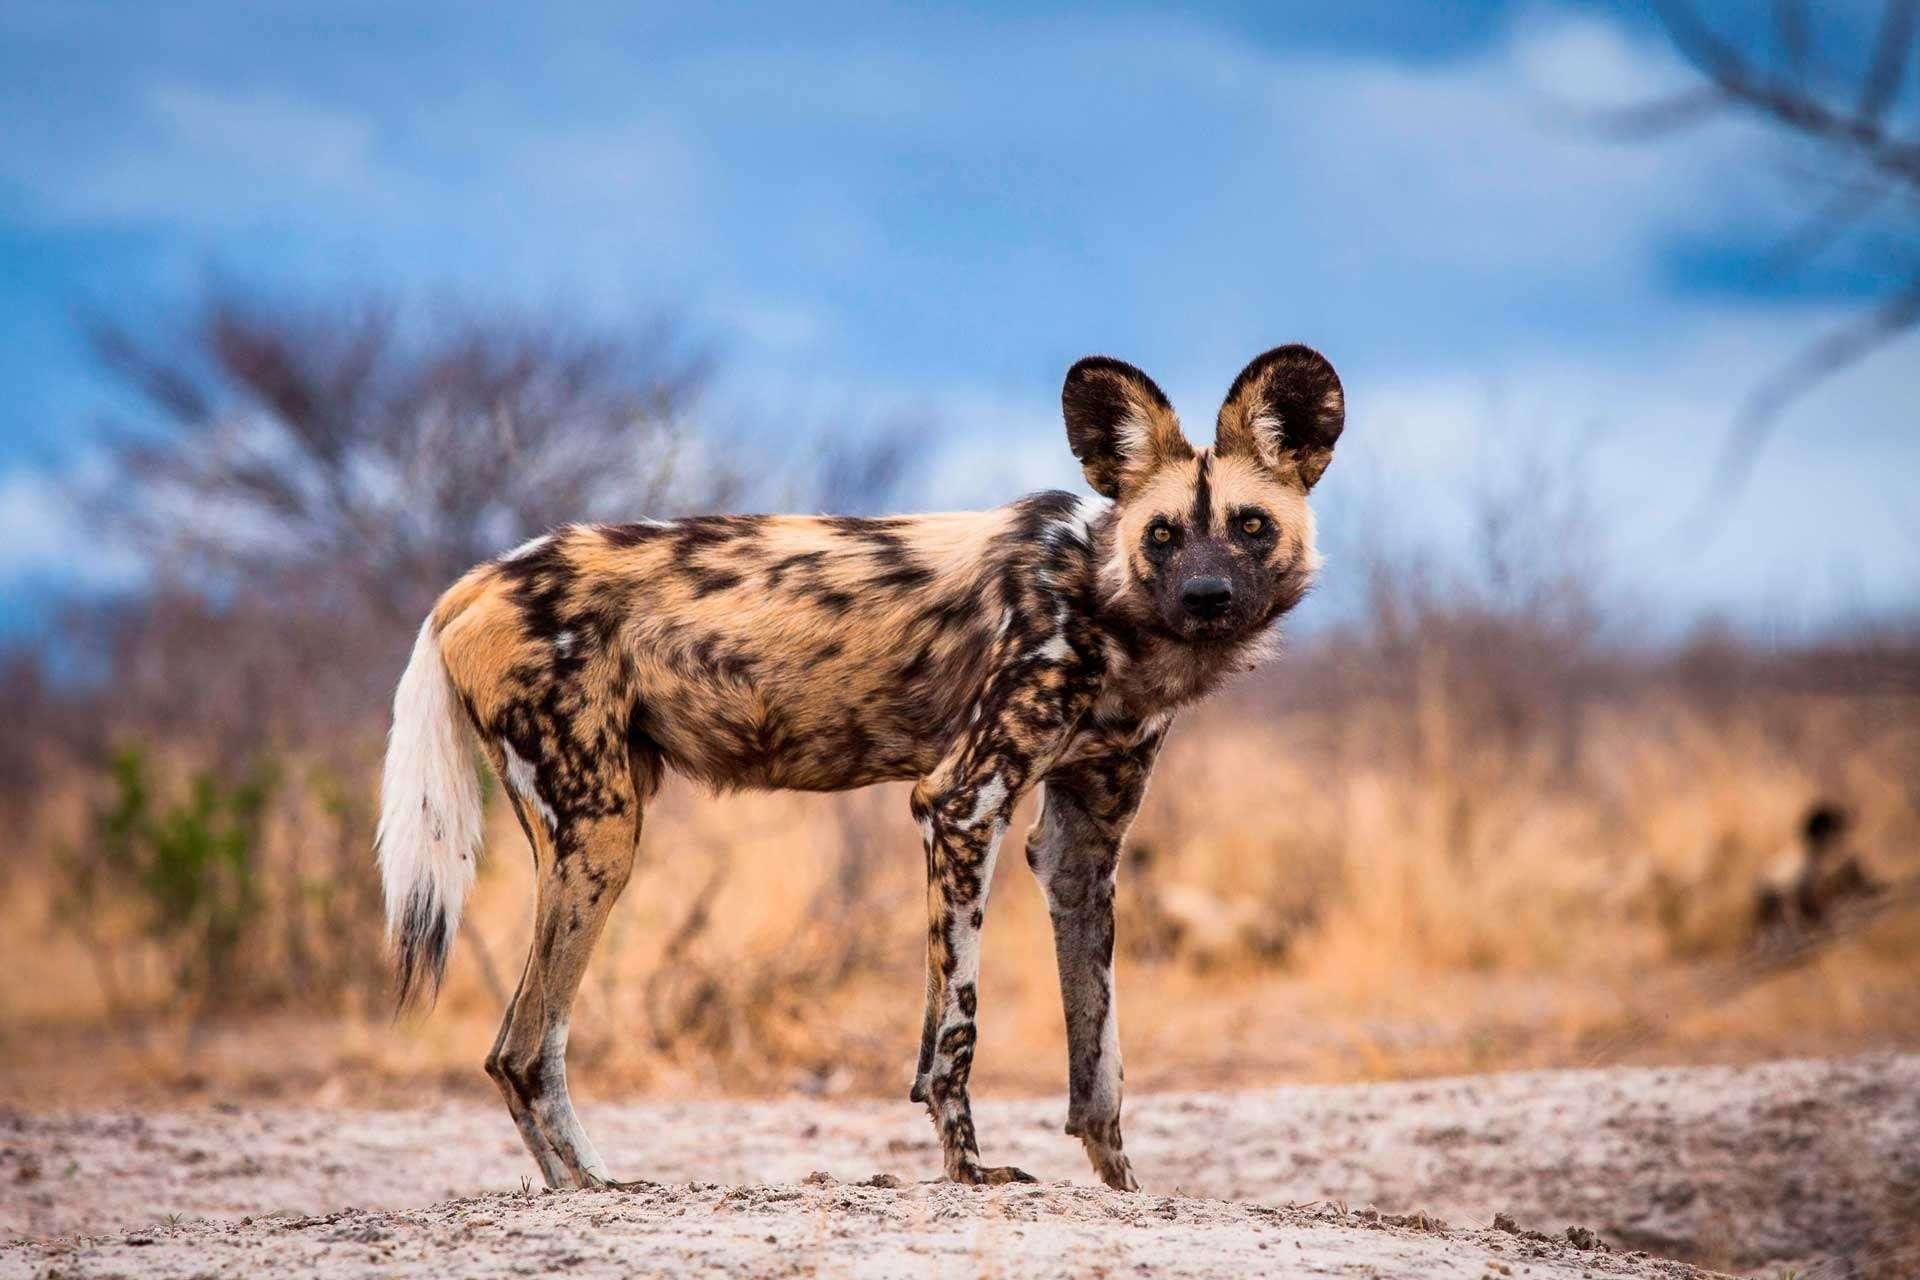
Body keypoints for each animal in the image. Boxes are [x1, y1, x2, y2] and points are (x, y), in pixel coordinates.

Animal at [374, 343, 1336, 1189]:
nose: (1206, 598)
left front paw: (1121, 1185)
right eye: (1163, 536)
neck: (1102, 602)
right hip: (602, 835)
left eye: (1250, 527)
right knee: (525, 1049)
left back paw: (577, 1187)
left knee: (513, 1050)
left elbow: (1098, 1060)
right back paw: (597, 1189)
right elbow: (956, 1034)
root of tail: (477, 580)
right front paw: (969, 1171)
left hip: (588, 830)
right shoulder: (960, 804)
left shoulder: (1082, 848)